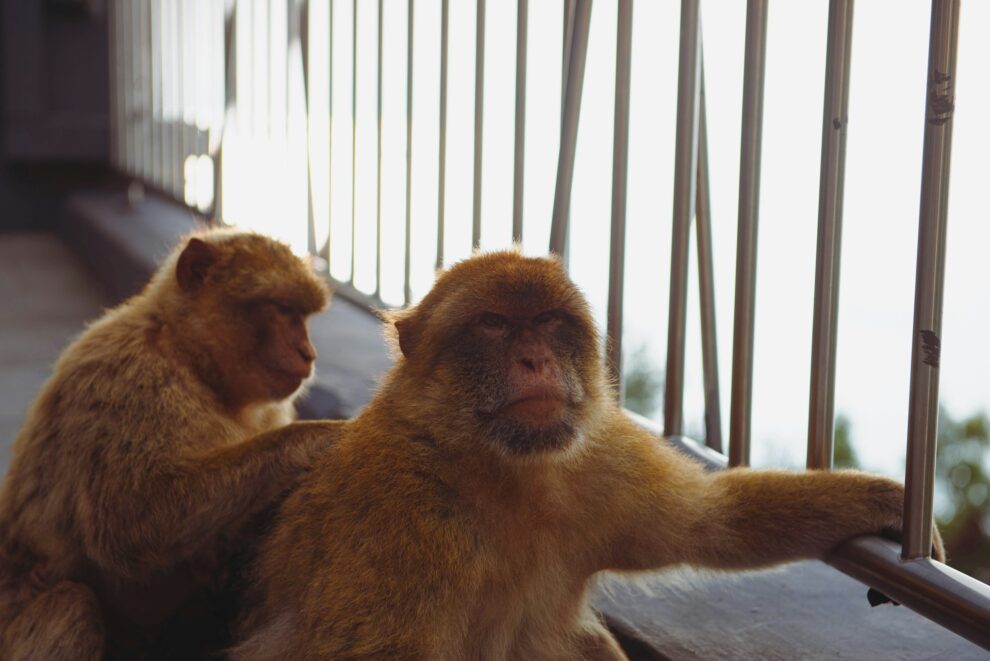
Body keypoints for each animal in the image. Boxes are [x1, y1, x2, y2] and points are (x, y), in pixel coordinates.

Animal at [0, 228, 345, 660]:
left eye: (302, 315)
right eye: (282, 309)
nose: (307, 353)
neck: (193, 362)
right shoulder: (132, 379)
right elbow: (128, 521)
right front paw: (319, 437)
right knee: (71, 608)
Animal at [231, 249, 944, 660]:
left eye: (549, 322)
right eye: (493, 324)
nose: (534, 359)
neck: (502, 472)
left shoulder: (599, 464)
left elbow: (713, 521)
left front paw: (887, 503)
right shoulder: (394, 509)